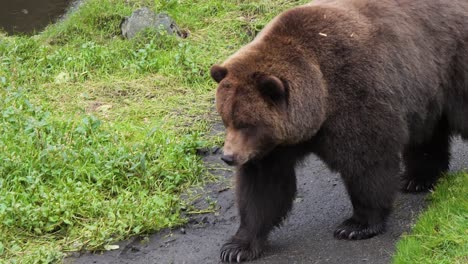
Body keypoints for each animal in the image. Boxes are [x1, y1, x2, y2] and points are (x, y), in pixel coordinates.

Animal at [210, 0, 466, 262]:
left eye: (247, 124)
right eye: (226, 119)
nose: (228, 157)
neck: (318, 103)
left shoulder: (354, 92)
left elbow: (367, 162)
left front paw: (355, 226)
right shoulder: (273, 147)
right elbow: (263, 188)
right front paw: (237, 247)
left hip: (451, 65)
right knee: (427, 136)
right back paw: (417, 179)